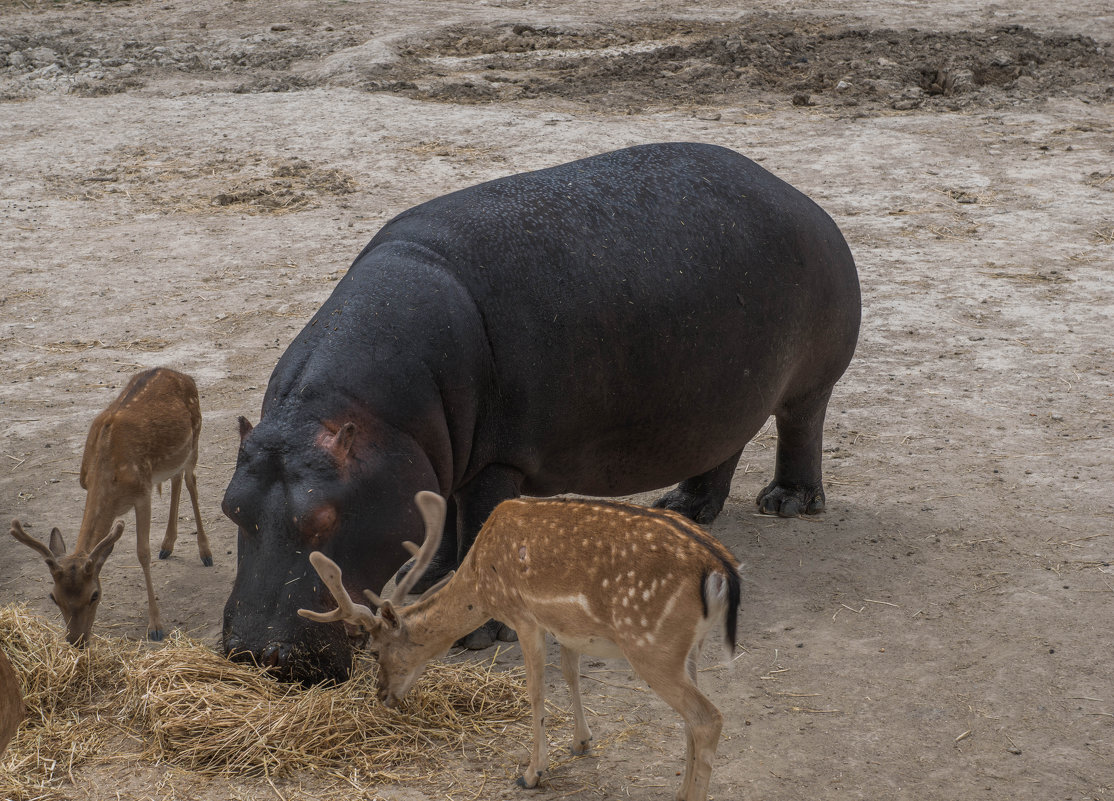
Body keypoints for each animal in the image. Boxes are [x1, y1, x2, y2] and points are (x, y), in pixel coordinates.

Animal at [9, 367, 211, 646]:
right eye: (53, 597)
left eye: (95, 595)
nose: (76, 641)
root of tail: (182, 375)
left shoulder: (143, 492)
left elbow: (142, 553)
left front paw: (156, 626)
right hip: (172, 459)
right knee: (176, 478)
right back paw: (167, 545)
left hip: (195, 440)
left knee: (191, 481)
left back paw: (205, 552)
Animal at [300, 492, 744, 797]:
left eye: (375, 651)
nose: (381, 696)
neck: (481, 583)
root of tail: (720, 569)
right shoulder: (567, 625)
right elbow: (571, 674)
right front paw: (581, 742)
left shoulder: (526, 617)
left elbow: (536, 692)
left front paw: (532, 774)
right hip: (688, 648)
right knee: (690, 719)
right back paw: (680, 790)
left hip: (650, 644)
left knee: (707, 717)